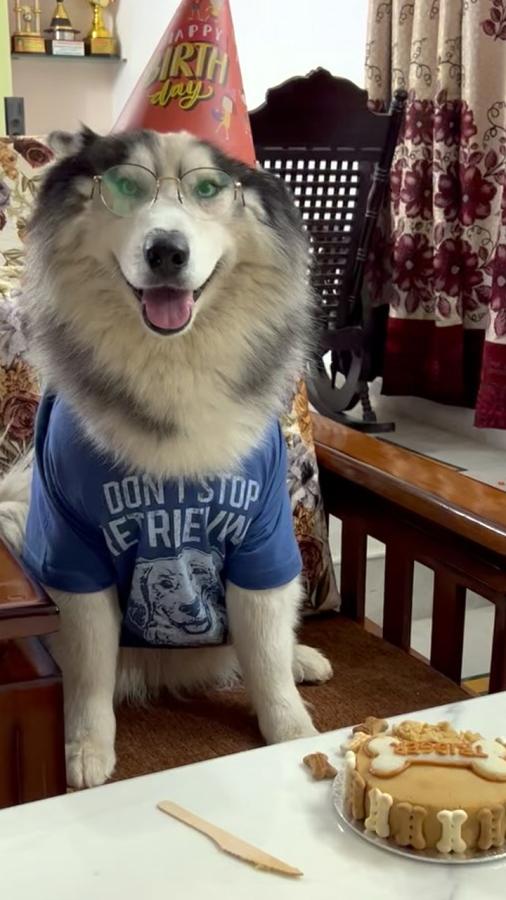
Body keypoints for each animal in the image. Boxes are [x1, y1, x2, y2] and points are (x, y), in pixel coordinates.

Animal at [0, 126, 332, 788]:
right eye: (127, 187)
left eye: (208, 190)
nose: (166, 252)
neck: (173, 366)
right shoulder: (74, 552)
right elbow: (89, 668)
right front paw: (84, 746)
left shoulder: (264, 540)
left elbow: (265, 655)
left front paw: (291, 731)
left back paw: (301, 657)